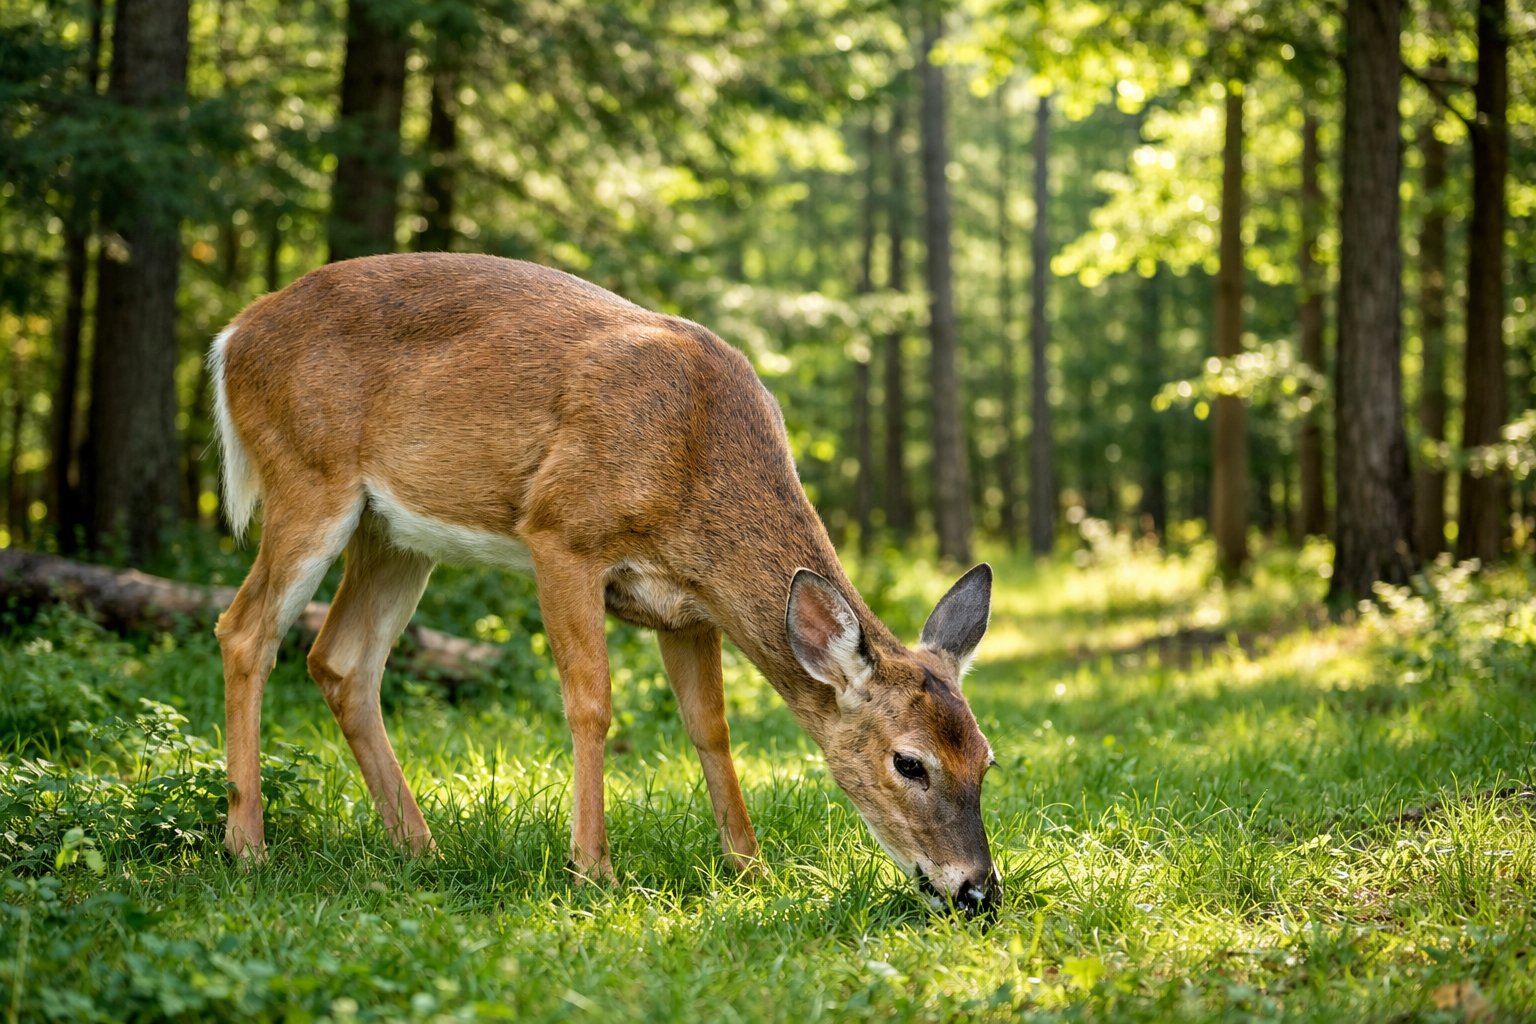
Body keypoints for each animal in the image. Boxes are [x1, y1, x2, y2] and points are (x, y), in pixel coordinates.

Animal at [210, 252, 1001, 916]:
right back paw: (247, 846)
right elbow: (591, 702)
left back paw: (419, 847)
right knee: (245, 628)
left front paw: (751, 870)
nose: (977, 893)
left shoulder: (689, 609)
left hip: (395, 534)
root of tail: (233, 335)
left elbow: (710, 728)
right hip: (307, 477)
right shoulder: (562, 532)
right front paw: (592, 869)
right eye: (909, 762)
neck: (694, 458)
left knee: (342, 660)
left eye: (986, 759)